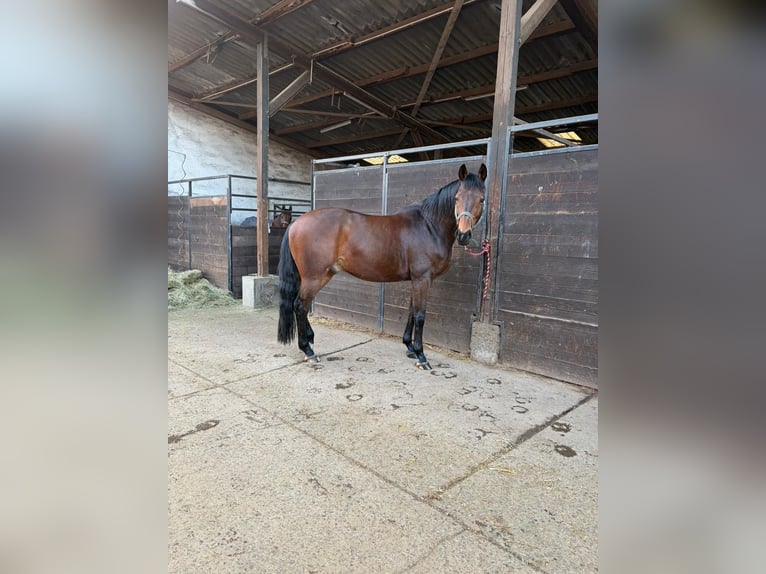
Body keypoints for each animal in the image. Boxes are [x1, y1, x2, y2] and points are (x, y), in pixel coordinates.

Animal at [277, 163, 487, 369]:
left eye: (482, 200)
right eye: (457, 198)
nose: (463, 235)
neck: (428, 226)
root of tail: (296, 223)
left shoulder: (417, 280)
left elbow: (411, 311)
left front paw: (410, 347)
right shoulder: (422, 279)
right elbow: (420, 315)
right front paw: (421, 356)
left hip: (319, 275)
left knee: (303, 305)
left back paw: (310, 342)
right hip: (314, 277)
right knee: (300, 306)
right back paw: (308, 351)